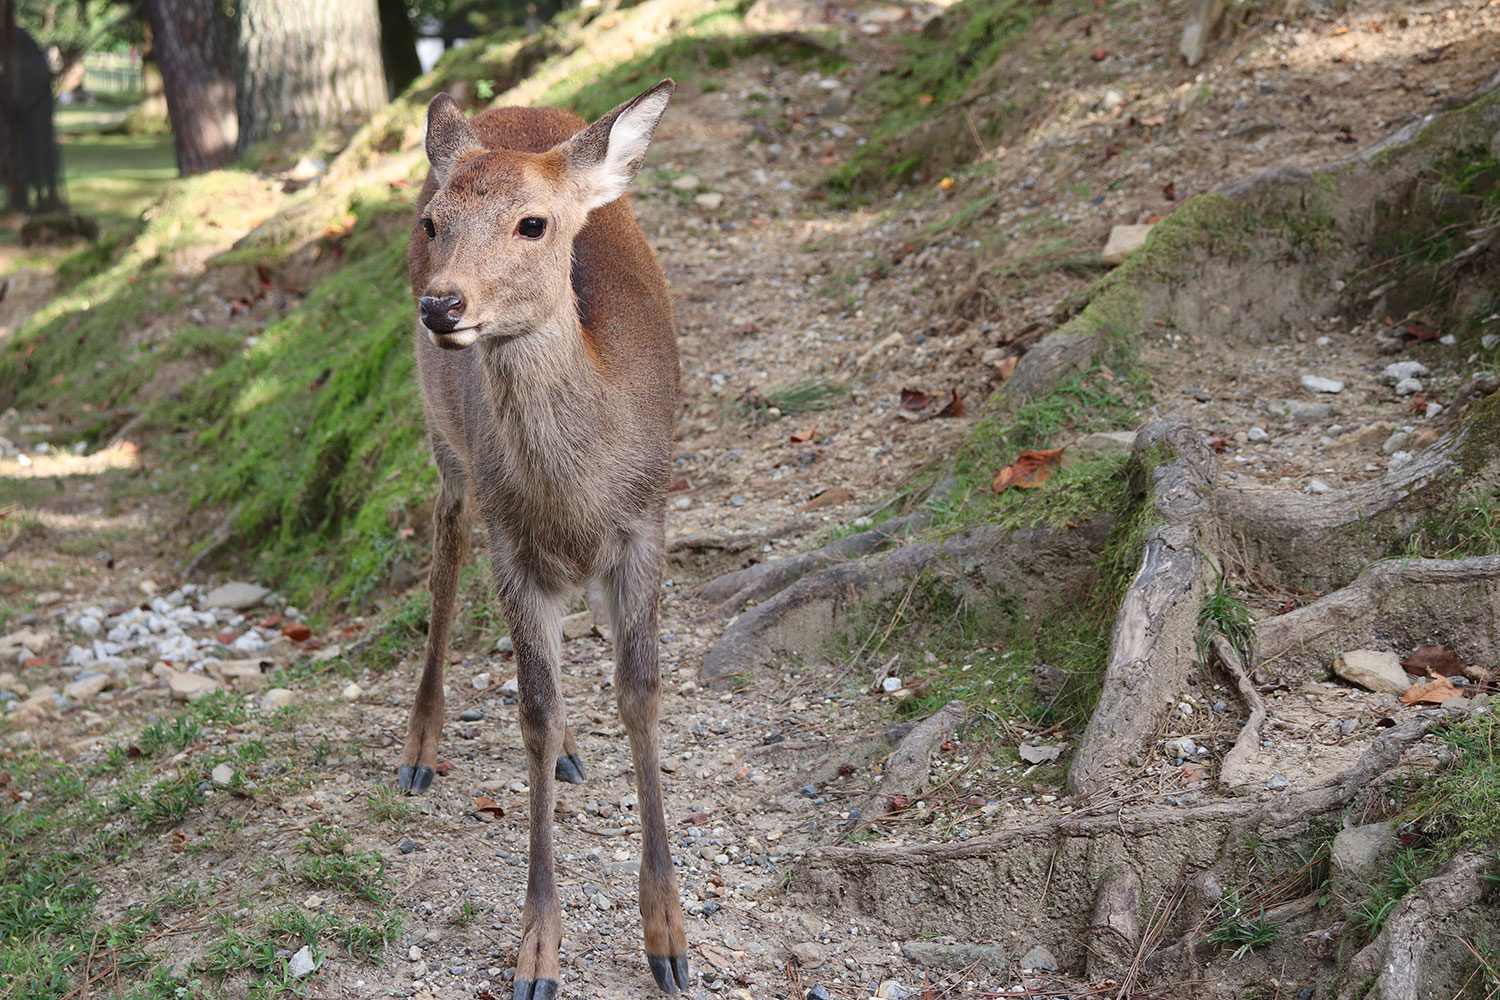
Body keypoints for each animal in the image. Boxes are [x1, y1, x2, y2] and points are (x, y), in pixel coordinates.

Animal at [393, 80, 687, 1000]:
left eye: (534, 223)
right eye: (434, 221)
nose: (442, 305)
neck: (577, 491)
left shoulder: (647, 523)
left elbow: (640, 692)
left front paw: (670, 940)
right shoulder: (514, 547)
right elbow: (531, 712)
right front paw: (536, 954)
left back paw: (573, 755)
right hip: (446, 439)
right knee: (446, 542)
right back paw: (420, 748)